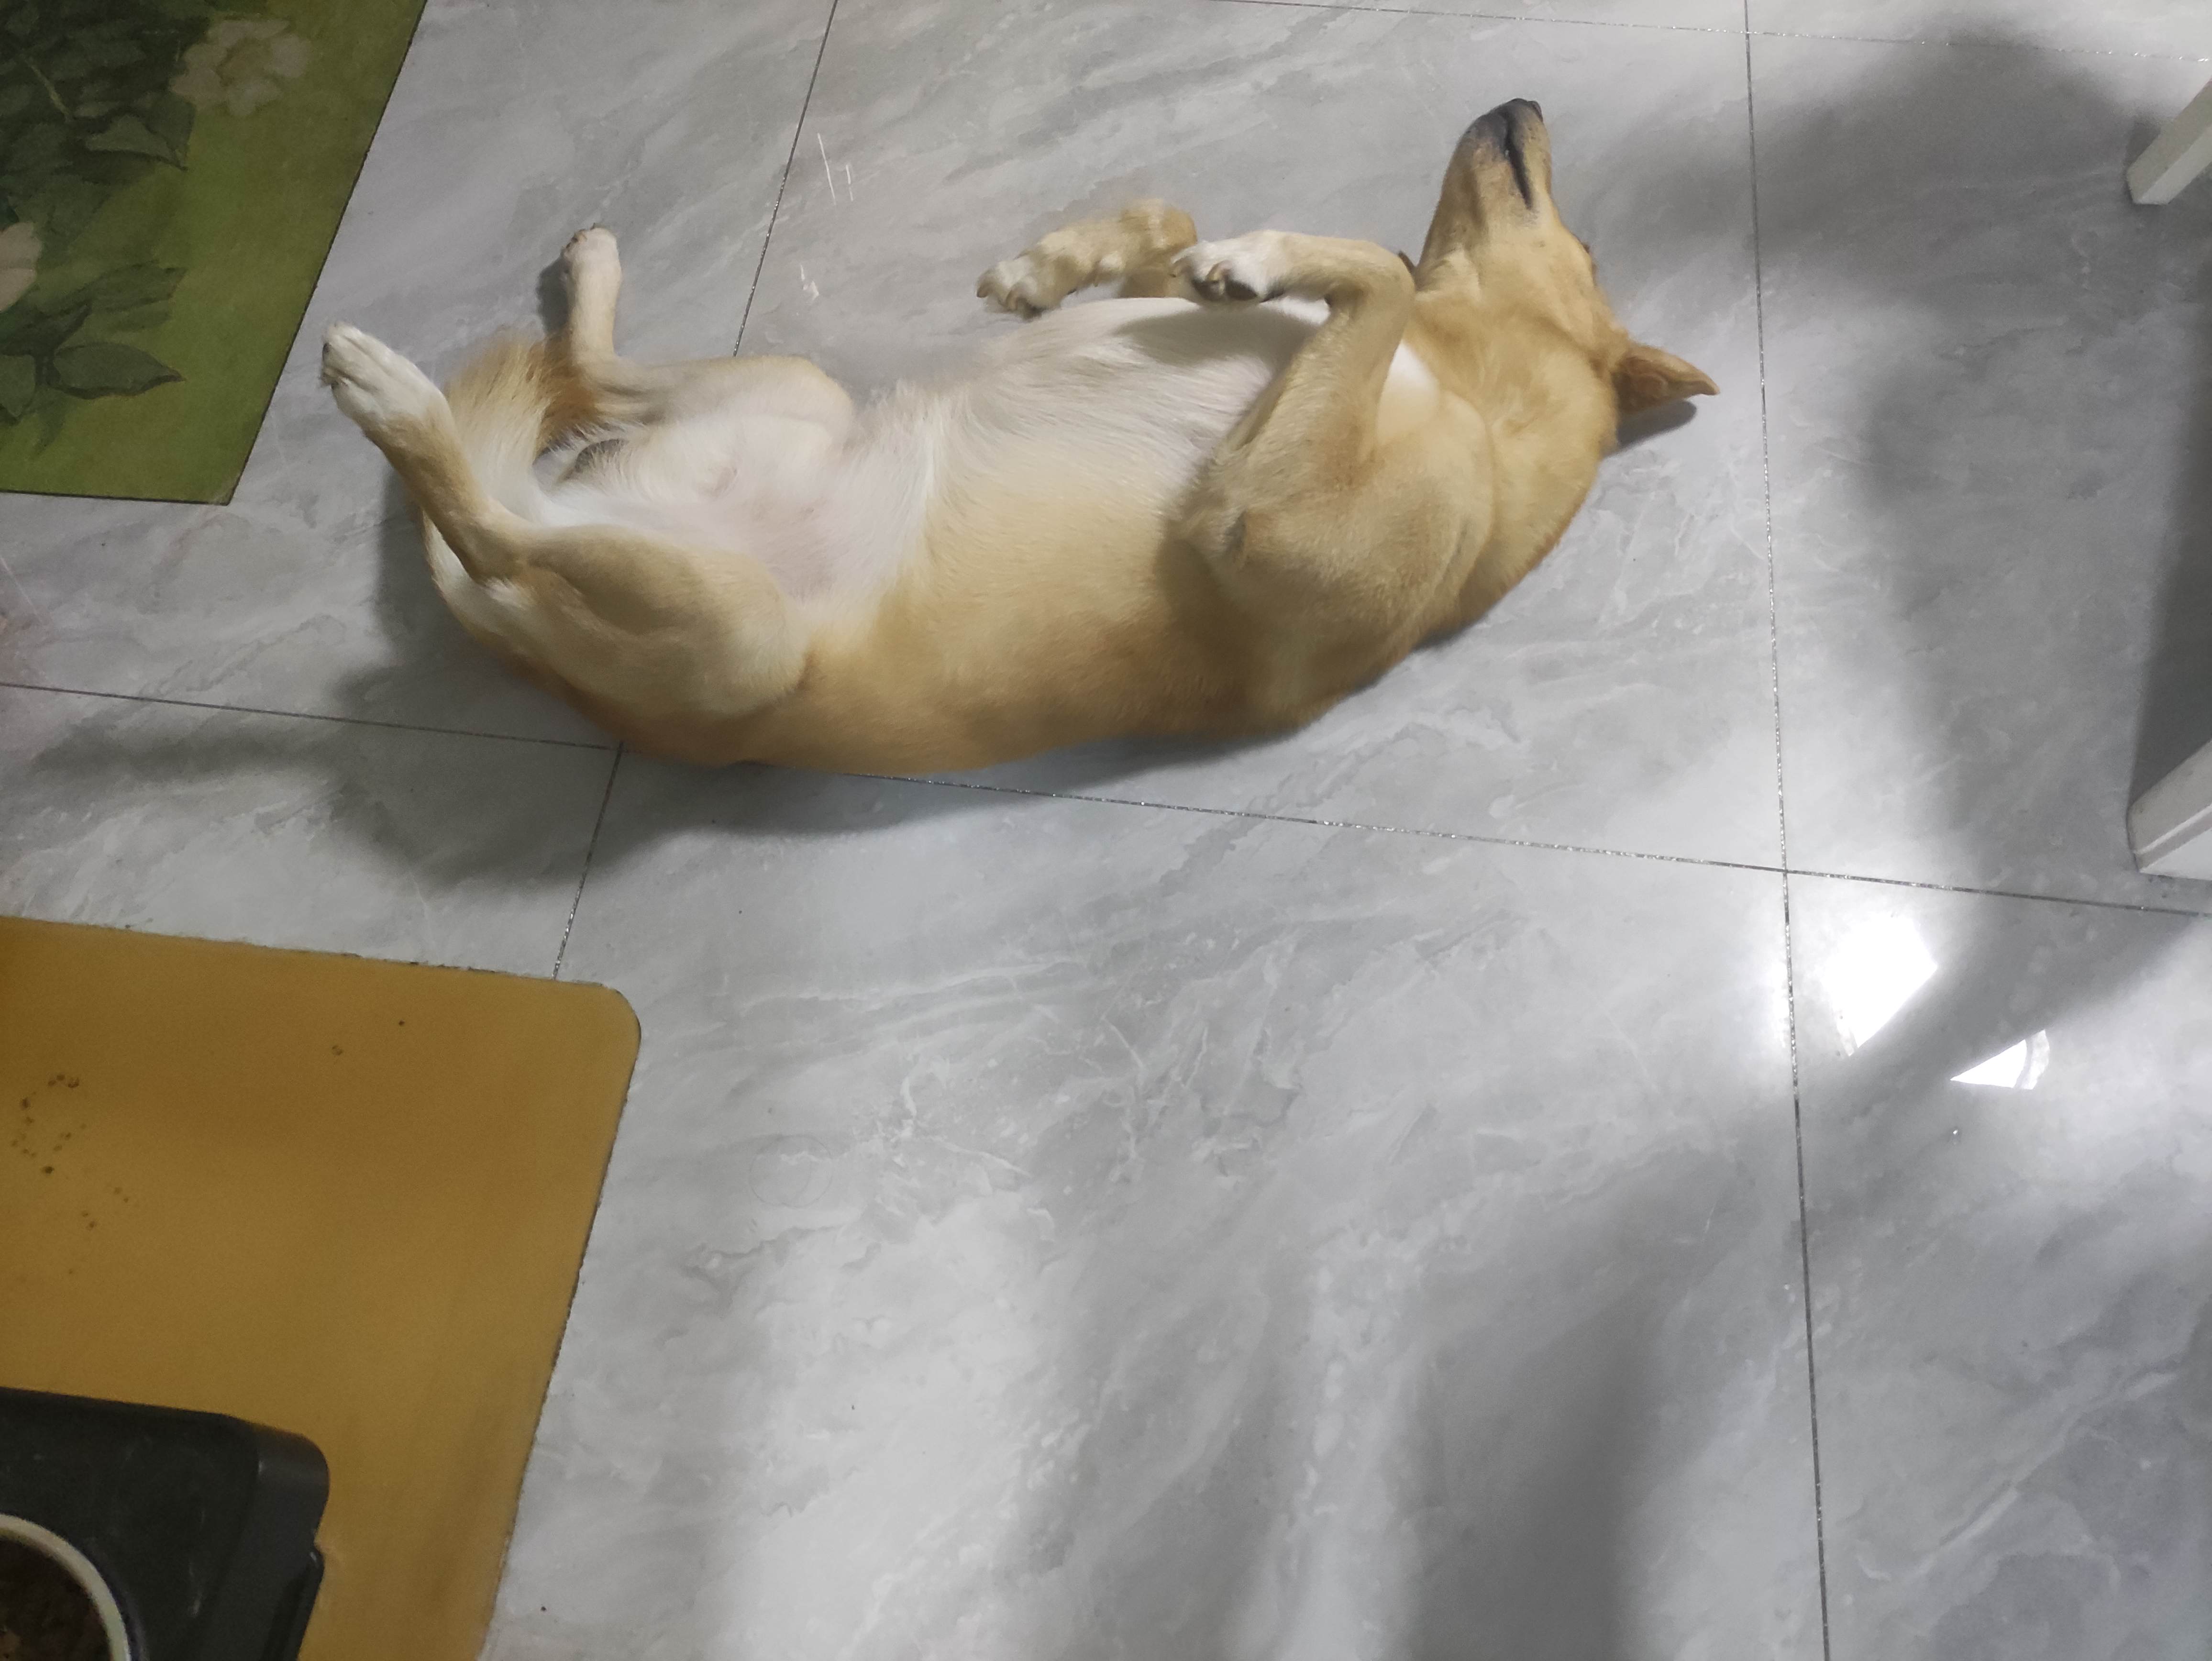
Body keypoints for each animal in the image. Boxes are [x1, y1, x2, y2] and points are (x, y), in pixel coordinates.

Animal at [322, 99, 1715, 770]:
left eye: (1588, 247)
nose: (1524, 101)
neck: (1474, 390)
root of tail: (518, 635)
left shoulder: (1264, 528)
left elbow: (1366, 264)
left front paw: (1260, 258)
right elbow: (1176, 223)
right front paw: (1053, 270)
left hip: (734, 640)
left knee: (491, 519)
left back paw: (391, 398)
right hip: (789, 398)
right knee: (586, 381)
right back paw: (582, 281)